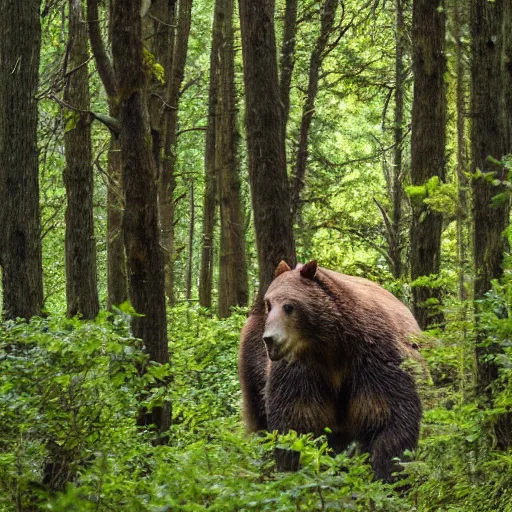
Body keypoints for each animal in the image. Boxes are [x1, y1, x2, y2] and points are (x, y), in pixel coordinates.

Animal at [238, 260, 426, 480]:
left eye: (289, 306)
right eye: (269, 304)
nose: (270, 339)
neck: (330, 345)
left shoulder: (374, 359)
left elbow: (387, 417)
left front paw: (387, 472)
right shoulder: (302, 372)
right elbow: (296, 420)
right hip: (253, 366)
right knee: (259, 419)